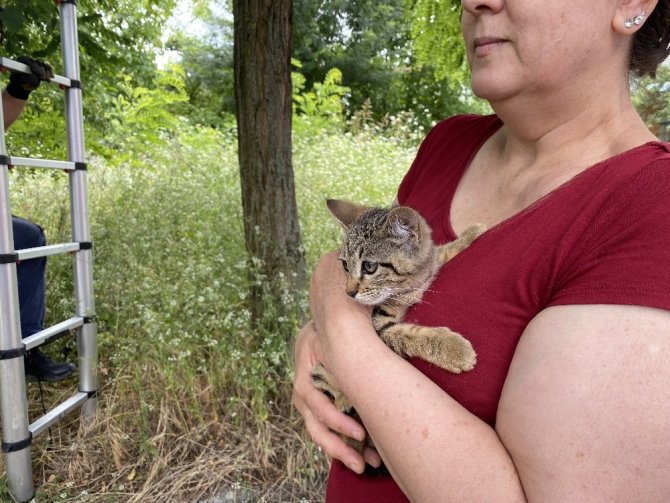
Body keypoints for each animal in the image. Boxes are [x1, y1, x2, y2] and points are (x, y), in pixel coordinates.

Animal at [312, 199, 486, 458]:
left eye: (369, 266)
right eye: (344, 265)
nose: (349, 292)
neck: (408, 286)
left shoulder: (429, 265)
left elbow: (441, 251)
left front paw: (471, 233)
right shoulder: (381, 326)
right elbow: (411, 335)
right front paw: (454, 349)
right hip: (318, 370)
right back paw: (345, 402)